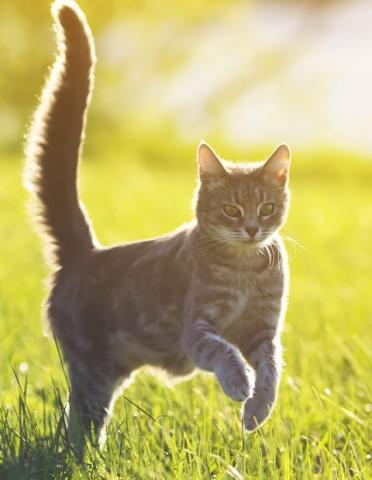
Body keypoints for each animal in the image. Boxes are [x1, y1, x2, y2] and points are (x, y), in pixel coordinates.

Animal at [26, 0, 290, 450]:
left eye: (268, 207)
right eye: (231, 210)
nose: (253, 228)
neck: (245, 269)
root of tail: (84, 254)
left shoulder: (263, 329)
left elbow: (271, 369)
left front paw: (258, 410)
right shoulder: (197, 326)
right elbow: (223, 351)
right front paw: (240, 384)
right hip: (91, 370)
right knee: (79, 420)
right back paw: (89, 456)